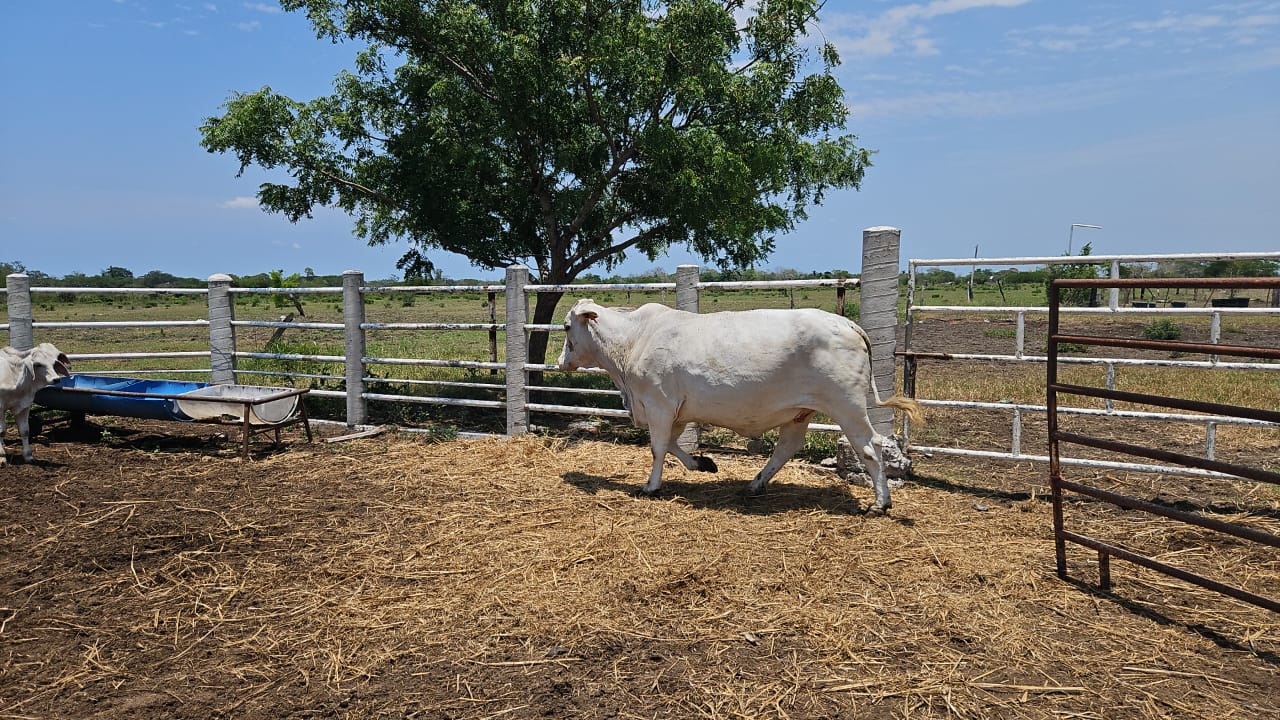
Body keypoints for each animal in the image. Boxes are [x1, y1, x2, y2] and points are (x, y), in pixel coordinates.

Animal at [557, 299, 923, 512]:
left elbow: (658, 449)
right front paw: (703, 464)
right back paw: (755, 484)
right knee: (786, 448)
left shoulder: (659, 405)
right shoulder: (676, 411)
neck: (633, 341)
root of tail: (848, 323)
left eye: (566, 326)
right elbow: (674, 446)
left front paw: (651, 486)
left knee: (870, 446)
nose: (560, 362)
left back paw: (880, 502)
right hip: (800, 412)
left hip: (848, 406)